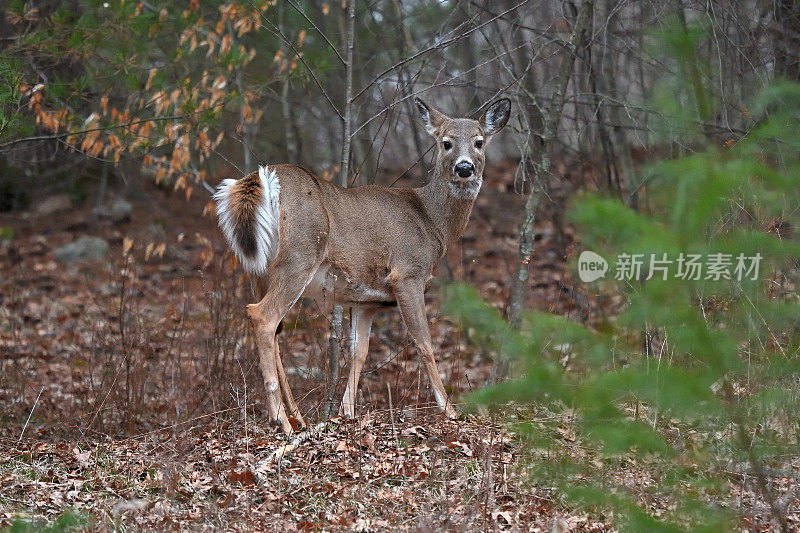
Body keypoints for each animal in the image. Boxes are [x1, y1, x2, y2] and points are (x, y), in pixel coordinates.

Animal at [214, 96, 512, 432]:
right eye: (445, 142)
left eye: (479, 141)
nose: (464, 167)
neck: (432, 222)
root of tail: (259, 179)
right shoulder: (407, 274)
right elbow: (424, 343)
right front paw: (450, 410)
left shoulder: (365, 300)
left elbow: (359, 352)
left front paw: (347, 413)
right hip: (300, 254)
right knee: (262, 316)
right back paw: (282, 420)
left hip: (259, 269)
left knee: (274, 328)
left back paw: (299, 417)